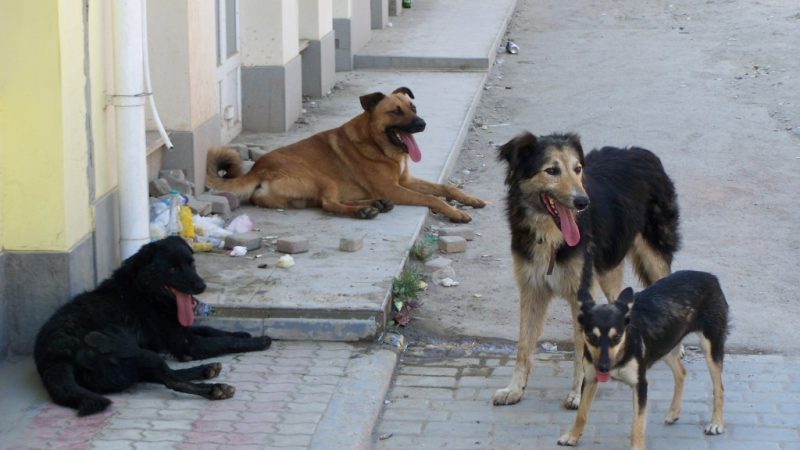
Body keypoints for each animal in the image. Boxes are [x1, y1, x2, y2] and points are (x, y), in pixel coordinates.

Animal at [33, 237, 272, 416]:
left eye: (191, 263)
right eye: (173, 269)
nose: (201, 286)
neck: (144, 291)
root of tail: (55, 357)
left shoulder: (179, 332)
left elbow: (211, 330)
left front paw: (242, 333)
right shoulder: (187, 345)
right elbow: (223, 341)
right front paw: (258, 341)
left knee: (161, 375)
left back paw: (206, 370)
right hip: (134, 352)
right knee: (170, 380)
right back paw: (214, 389)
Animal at [203, 87, 484, 222]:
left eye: (413, 107)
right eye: (395, 111)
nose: (422, 123)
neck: (377, 144)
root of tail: (257, 168)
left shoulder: (403, 182)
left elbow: (446, 188)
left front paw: (470, 199)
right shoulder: (395, 188)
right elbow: (433, 198)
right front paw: (455, 212)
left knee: (327, 202)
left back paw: (375, 204)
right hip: (323, 178)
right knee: (328, 203)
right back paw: (365, 210)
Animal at [490, 132, 680, 410]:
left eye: (577, 169)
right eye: (552, 170)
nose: (582, 202)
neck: (550, 235)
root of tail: (642, 152)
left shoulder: (581, 292)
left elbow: (581, 349)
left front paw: (578, 394)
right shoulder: (532, 289)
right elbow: (524, 346)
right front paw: (514, 389)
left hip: (654, 255)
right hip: (607, 268)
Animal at [560, 270, 728, 450]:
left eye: (617, 337)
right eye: (592, 337)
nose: (603, 368)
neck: (622, 350)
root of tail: (709, 276)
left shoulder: (640, 385)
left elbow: (637, 423)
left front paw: (636, 446)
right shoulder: (591, 378)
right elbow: (582, 413)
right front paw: (572, 436)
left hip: (710, 347)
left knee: (719, 387)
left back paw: (716, 423)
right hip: (666, 344)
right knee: (681, 373)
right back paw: (673, 412)